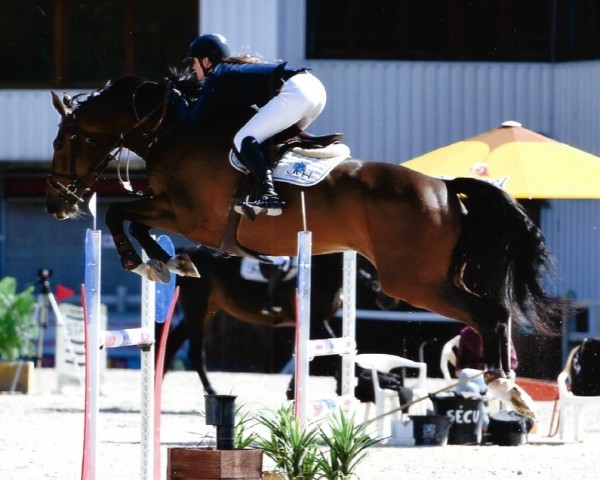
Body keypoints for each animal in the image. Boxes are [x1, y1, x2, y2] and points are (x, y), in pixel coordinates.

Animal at [48, 73, 564, 418]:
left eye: (61, 142)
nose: (59, 204)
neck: (174, 132)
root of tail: (444, 188)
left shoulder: (188, 215)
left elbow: (120, 214)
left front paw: (148, 260)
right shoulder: (178, 215)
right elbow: (129, 218)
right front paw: (163, 262)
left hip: (414, 281)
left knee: (489, 313)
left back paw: (506, 389)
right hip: (427, 277)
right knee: (496, 312)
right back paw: (511, 390)